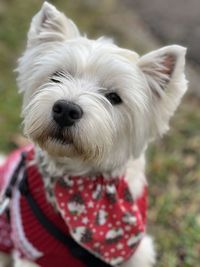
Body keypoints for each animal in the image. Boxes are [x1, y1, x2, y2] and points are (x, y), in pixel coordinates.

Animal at [0, 2, 188, 267]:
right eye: (56, 76)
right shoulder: (31, 253)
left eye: (114, 97)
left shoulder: (137, 251)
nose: (65, 110)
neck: (84, 184)